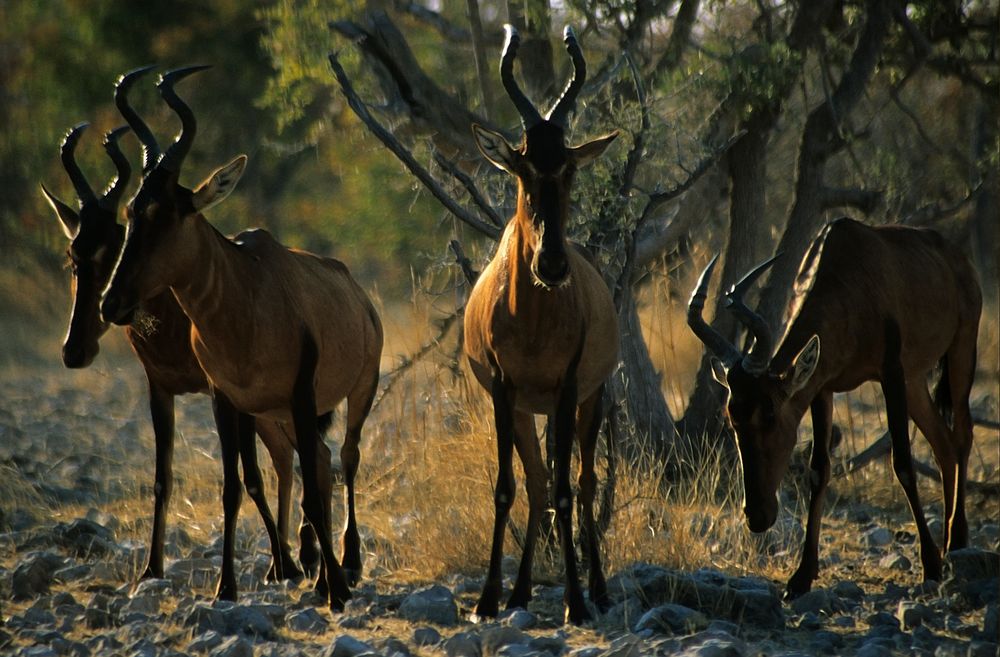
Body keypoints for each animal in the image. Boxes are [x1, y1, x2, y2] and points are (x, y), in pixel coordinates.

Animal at [40, 84, 316, 592]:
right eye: (73, 256)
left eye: (112, 247)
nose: (74, 350)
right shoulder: (159, 390)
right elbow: (163, 478)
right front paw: (151, 568)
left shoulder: (223, 395)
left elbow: (246, 478)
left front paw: (269, 570)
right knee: (286, 458)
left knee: (286, 459)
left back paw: (293, 559)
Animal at [100, 66, 382, 608]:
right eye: (130, 210)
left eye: (169, 212)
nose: (111, 302)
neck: (245, 293)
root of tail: (357, 292)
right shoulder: (226, 400)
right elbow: (233, 488)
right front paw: (226, 587)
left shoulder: (301, 393)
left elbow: (309, 488)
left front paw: (337, 589)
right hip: (278, 415)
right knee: (316, 462)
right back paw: (319, 572)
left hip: (354, 392)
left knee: (346, 457)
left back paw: (347, 567)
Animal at [464, 24, 620, 620]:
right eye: (524, 166)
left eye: (569, 167)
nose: (551, 265)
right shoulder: (503, 389)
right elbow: (508, 487)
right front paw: (488, 598)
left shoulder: (568, 387)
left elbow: (565, 490)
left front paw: (576, 601)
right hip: (528, 410)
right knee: (534, 480)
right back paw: (521, 590)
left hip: (587, 401)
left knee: (584, 481)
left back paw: (598, 589)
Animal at [692, 218, 980, 596]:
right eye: (731, 417)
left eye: (769, 413)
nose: (757, 516)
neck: (844, 268)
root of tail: (957, 256)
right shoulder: (822, 387)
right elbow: (819, 470)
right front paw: (800, 577)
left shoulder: (890, 372)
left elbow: (902, 462)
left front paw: (930, 566)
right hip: (916, 380)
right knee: (943, 443)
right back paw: (947, 541)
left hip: (960, 349)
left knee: (962, 434)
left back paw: (957, 541)